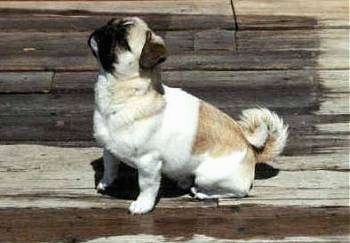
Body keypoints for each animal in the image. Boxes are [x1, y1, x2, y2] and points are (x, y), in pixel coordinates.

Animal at [87, 17, 288, 215]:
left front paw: (143, 205)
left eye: (122, 41)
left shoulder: (148, 164)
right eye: (110, 24)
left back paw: (202, 193)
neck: (125, 95)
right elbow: (110, 167)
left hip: (206, 176)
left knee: (238, 192)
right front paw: (105, 183)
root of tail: (251, 151)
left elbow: (147, 187)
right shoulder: (109, 150)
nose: (104, 30)